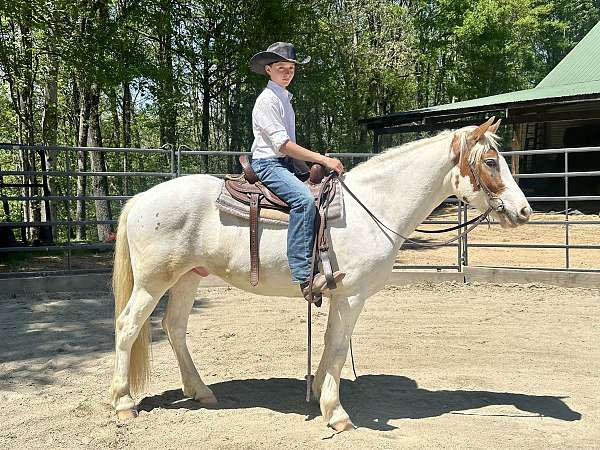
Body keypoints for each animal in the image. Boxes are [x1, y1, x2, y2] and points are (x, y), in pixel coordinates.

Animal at [109, 118, 528, 430]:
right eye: (491, 162)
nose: (523, 211)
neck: (373, 207)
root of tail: (142, 199)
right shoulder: (352, 295)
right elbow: (340, 347)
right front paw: (337, 413)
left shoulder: (340, 296)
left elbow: (330, 345)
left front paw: (322, 398)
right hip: (153, 282)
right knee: (128, 326)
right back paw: (124, 403)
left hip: (187, 277)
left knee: (175, 328)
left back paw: (200, 391)